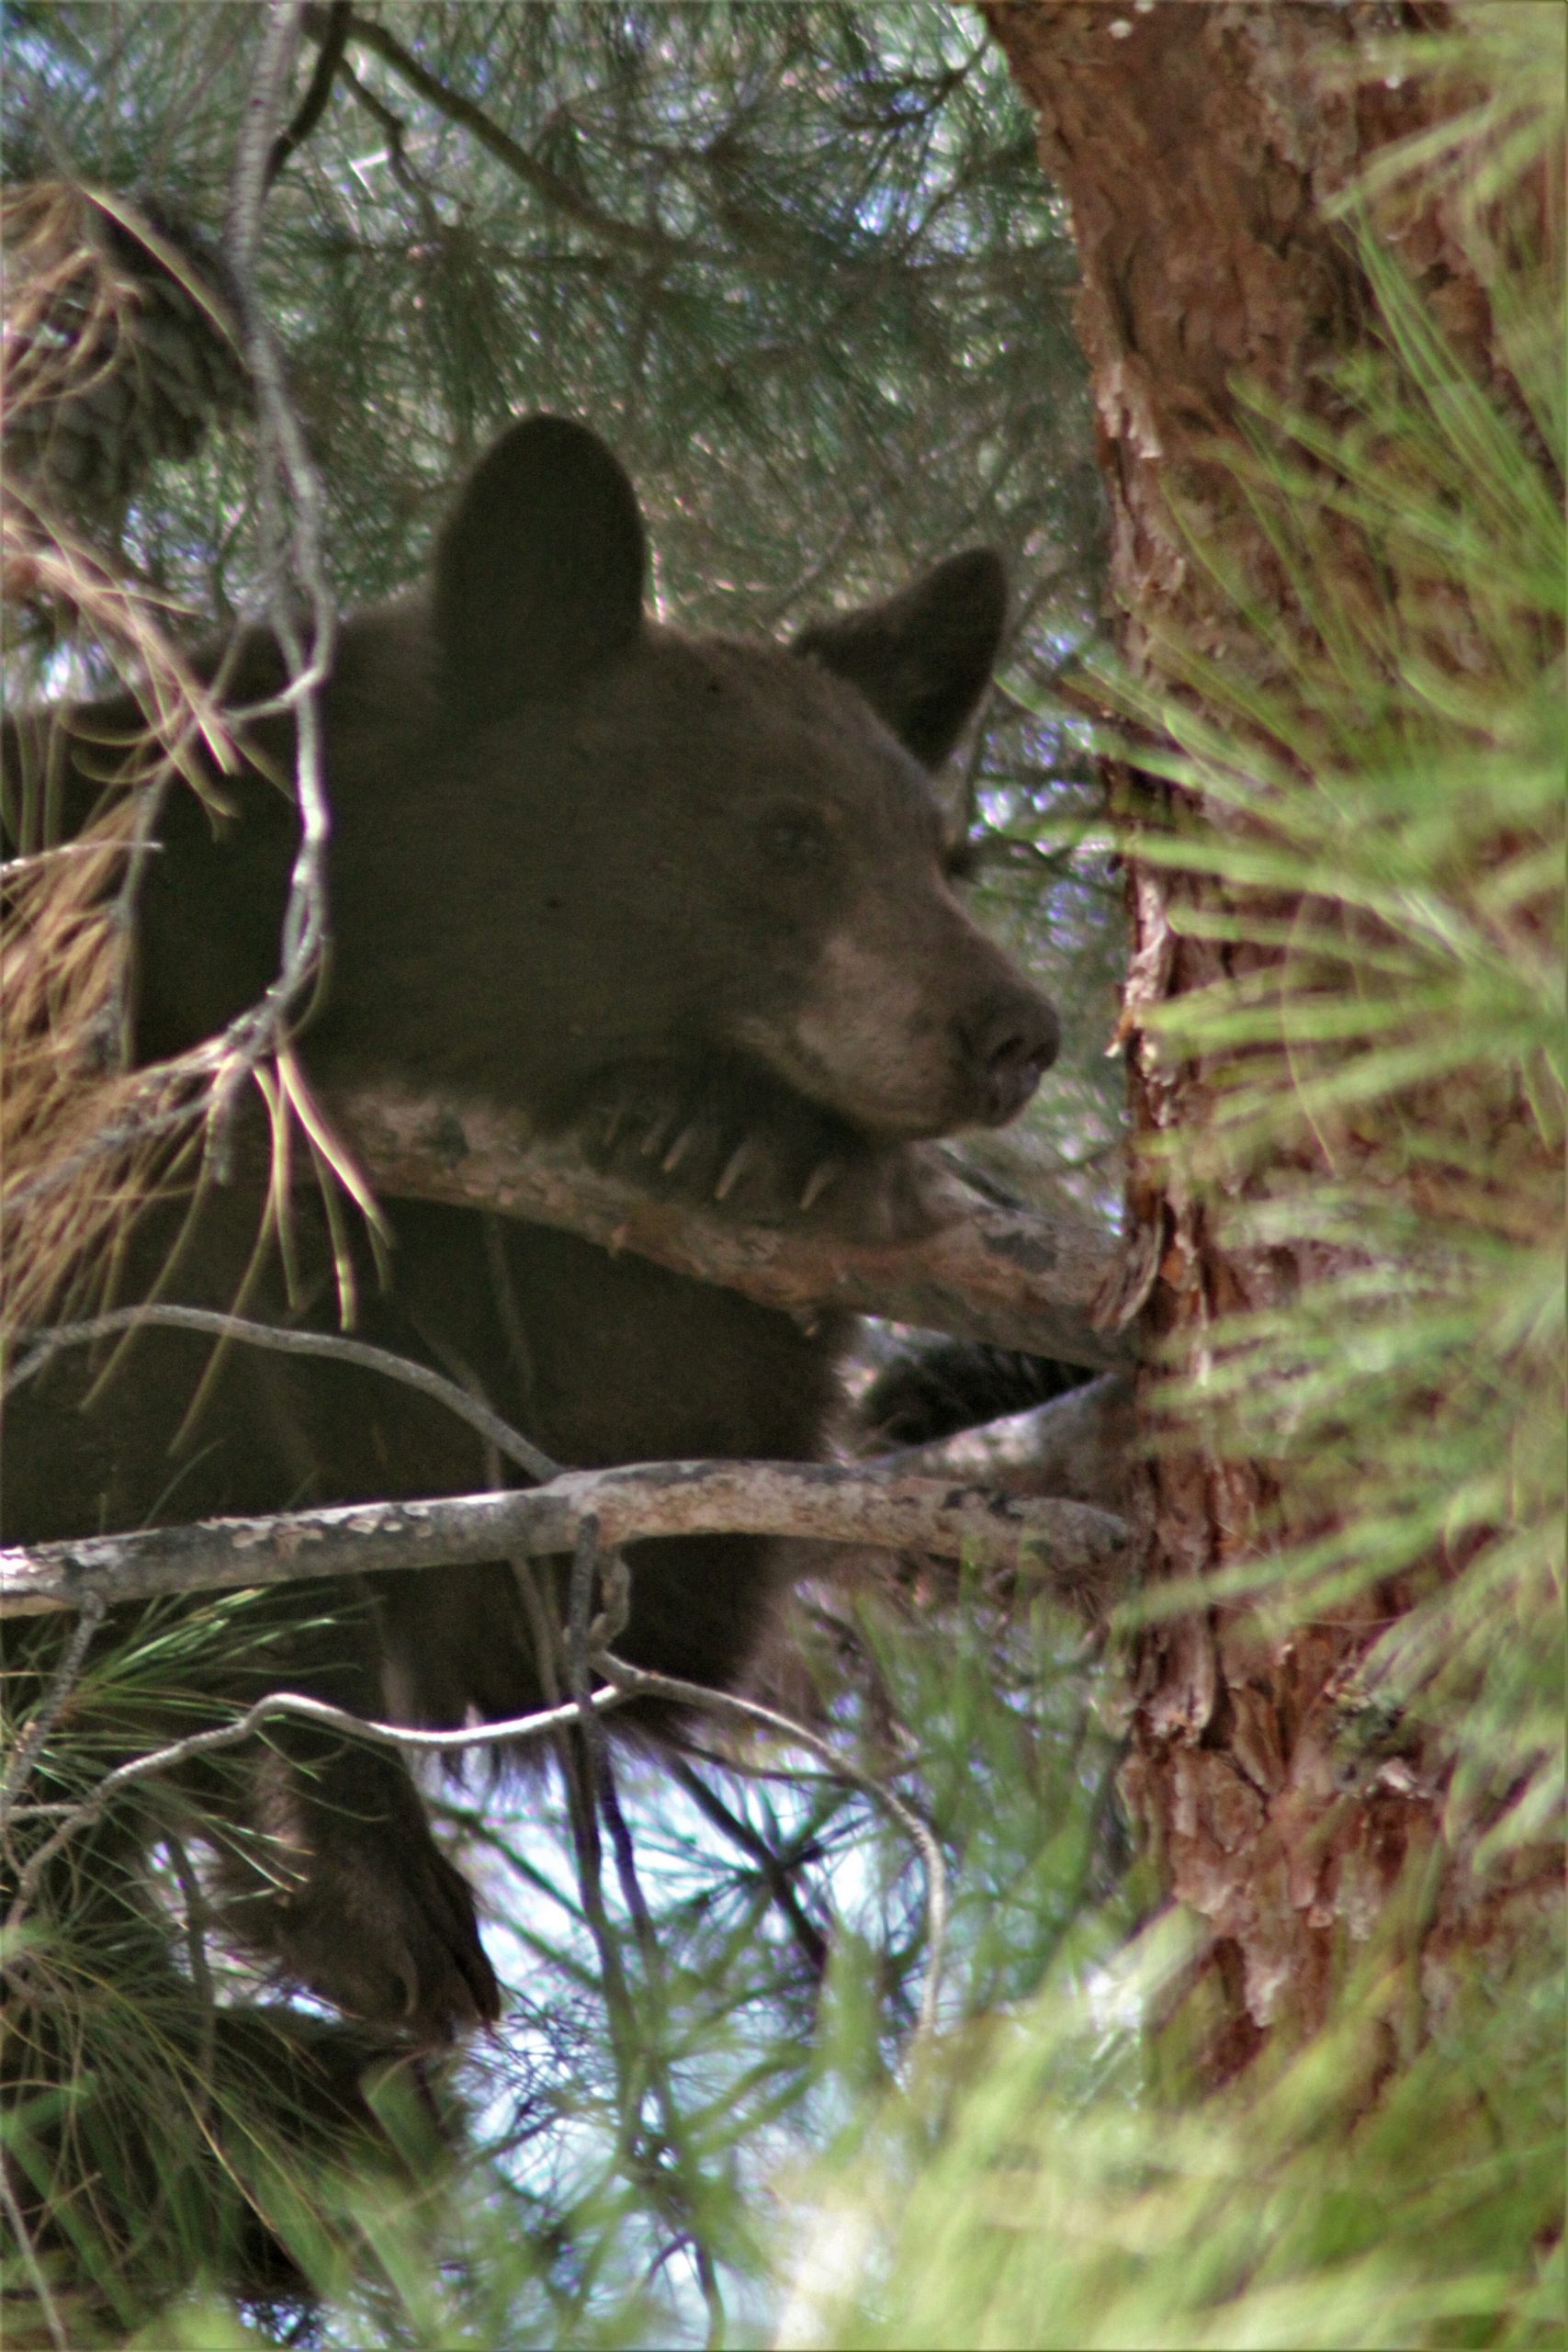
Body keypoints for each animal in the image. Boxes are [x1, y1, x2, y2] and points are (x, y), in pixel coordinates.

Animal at [6, 418, 1062, 2041]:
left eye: (945, 853)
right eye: (787, 832)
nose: (1013, 1031)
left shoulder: (500, 1316)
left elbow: (621, 1581)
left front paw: (748, 1134)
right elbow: (170, 1478)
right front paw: (362, 1874)